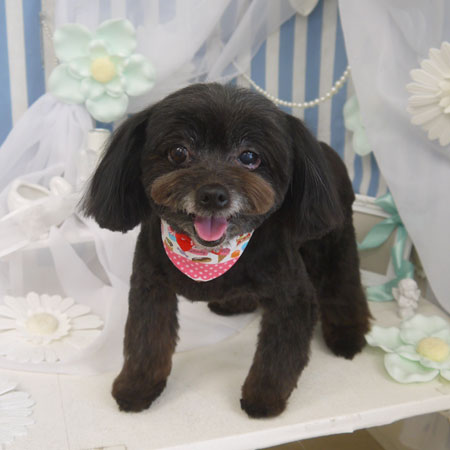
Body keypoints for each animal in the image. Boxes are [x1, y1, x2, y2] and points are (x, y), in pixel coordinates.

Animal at [83, 83, 370, 418]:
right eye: (178, 152)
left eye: (250, 156)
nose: (212, 195)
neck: (205, 257)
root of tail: (325, 150)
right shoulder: (151, 287)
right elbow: (146, 342)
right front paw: (137, 387)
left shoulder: (293, 298)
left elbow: (278, 355)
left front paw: (264, 398)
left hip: (334, 240)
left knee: (345, 285)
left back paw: (347, 335)